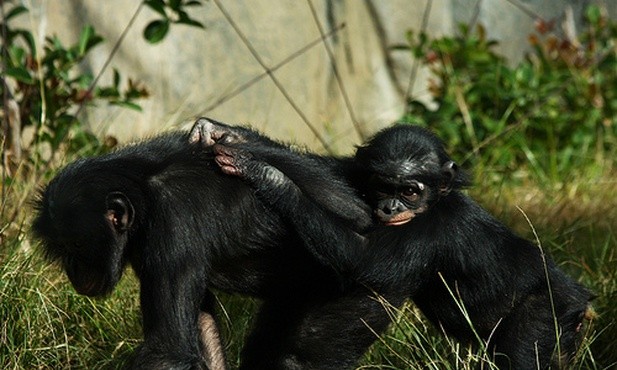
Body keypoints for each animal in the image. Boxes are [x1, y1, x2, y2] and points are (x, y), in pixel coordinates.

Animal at [35, 122, 384, 370]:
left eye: (78, 246)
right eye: (63, 250)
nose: (74, 268)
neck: (142, 188)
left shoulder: (174, 222)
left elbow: (168, 349)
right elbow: (201, 323)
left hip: (364, 294)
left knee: (301, 358)